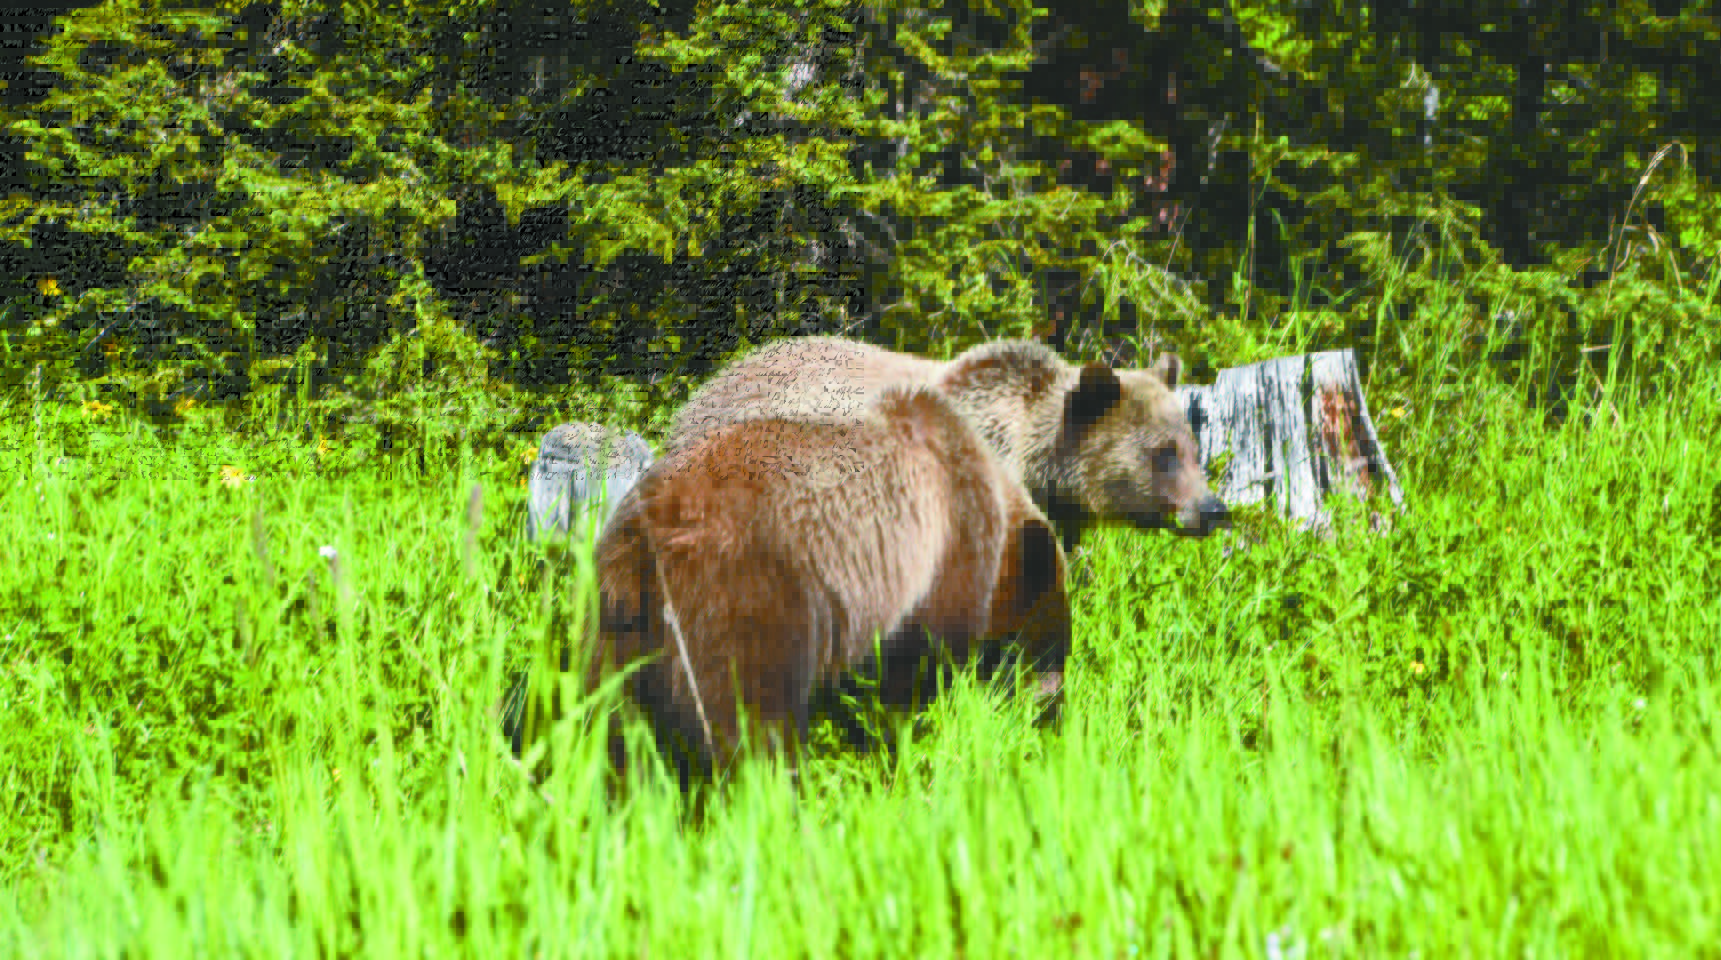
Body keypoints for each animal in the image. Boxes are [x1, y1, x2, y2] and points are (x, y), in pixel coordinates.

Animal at [574, 384, 1071, 781]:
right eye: (1052, 644)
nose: (1052, 709)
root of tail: (649, 533)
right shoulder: (935, 567)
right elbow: (907, 678)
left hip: (616, 618)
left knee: (611, 728)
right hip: (743, 589)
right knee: (751, 716)